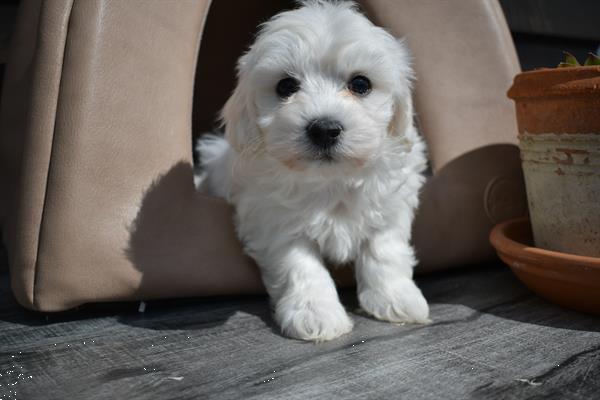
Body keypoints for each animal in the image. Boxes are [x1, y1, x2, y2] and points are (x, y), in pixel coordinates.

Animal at [199, 1, 428, 342]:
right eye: (285, 86)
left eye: (361, 84)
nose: (324, 129)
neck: (331, 179)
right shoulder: (274, 221)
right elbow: (300, 266)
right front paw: (316, 314)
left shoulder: (391, 204)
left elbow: (385, 250)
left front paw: (396, 299)